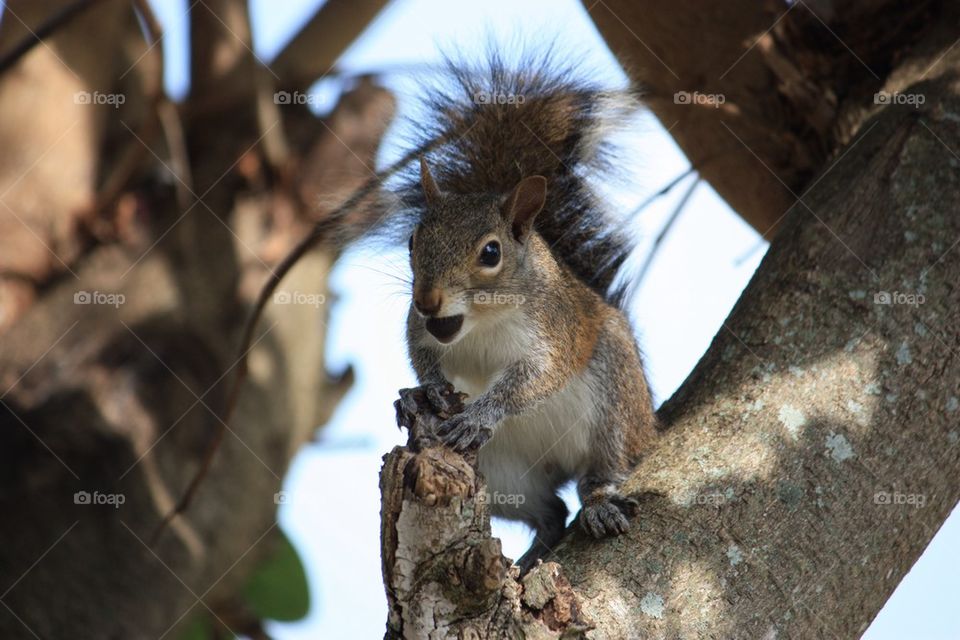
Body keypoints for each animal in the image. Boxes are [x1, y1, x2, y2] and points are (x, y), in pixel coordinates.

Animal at [394, 51, 659, 573]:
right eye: (413, 241)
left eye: (491, 252)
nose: (427, 300)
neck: (479, 325)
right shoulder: (419, 330)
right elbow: (422, 357)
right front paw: (421, 393)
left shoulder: (553, 334)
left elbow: (533, 380)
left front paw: (481, 413)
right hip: (504, 477)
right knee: (551, 512)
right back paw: (529, 557)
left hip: (615, 402)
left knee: (600, 474)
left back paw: (599, 504)